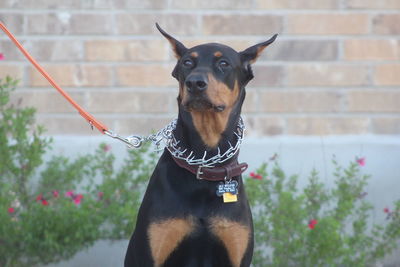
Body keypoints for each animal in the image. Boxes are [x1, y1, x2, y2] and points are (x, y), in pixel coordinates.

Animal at [125, 23, 278, 267]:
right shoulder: (150, 252)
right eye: (187, 62)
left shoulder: (237, 250)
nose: (195, 83)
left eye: (223, 63)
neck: (205, 165)